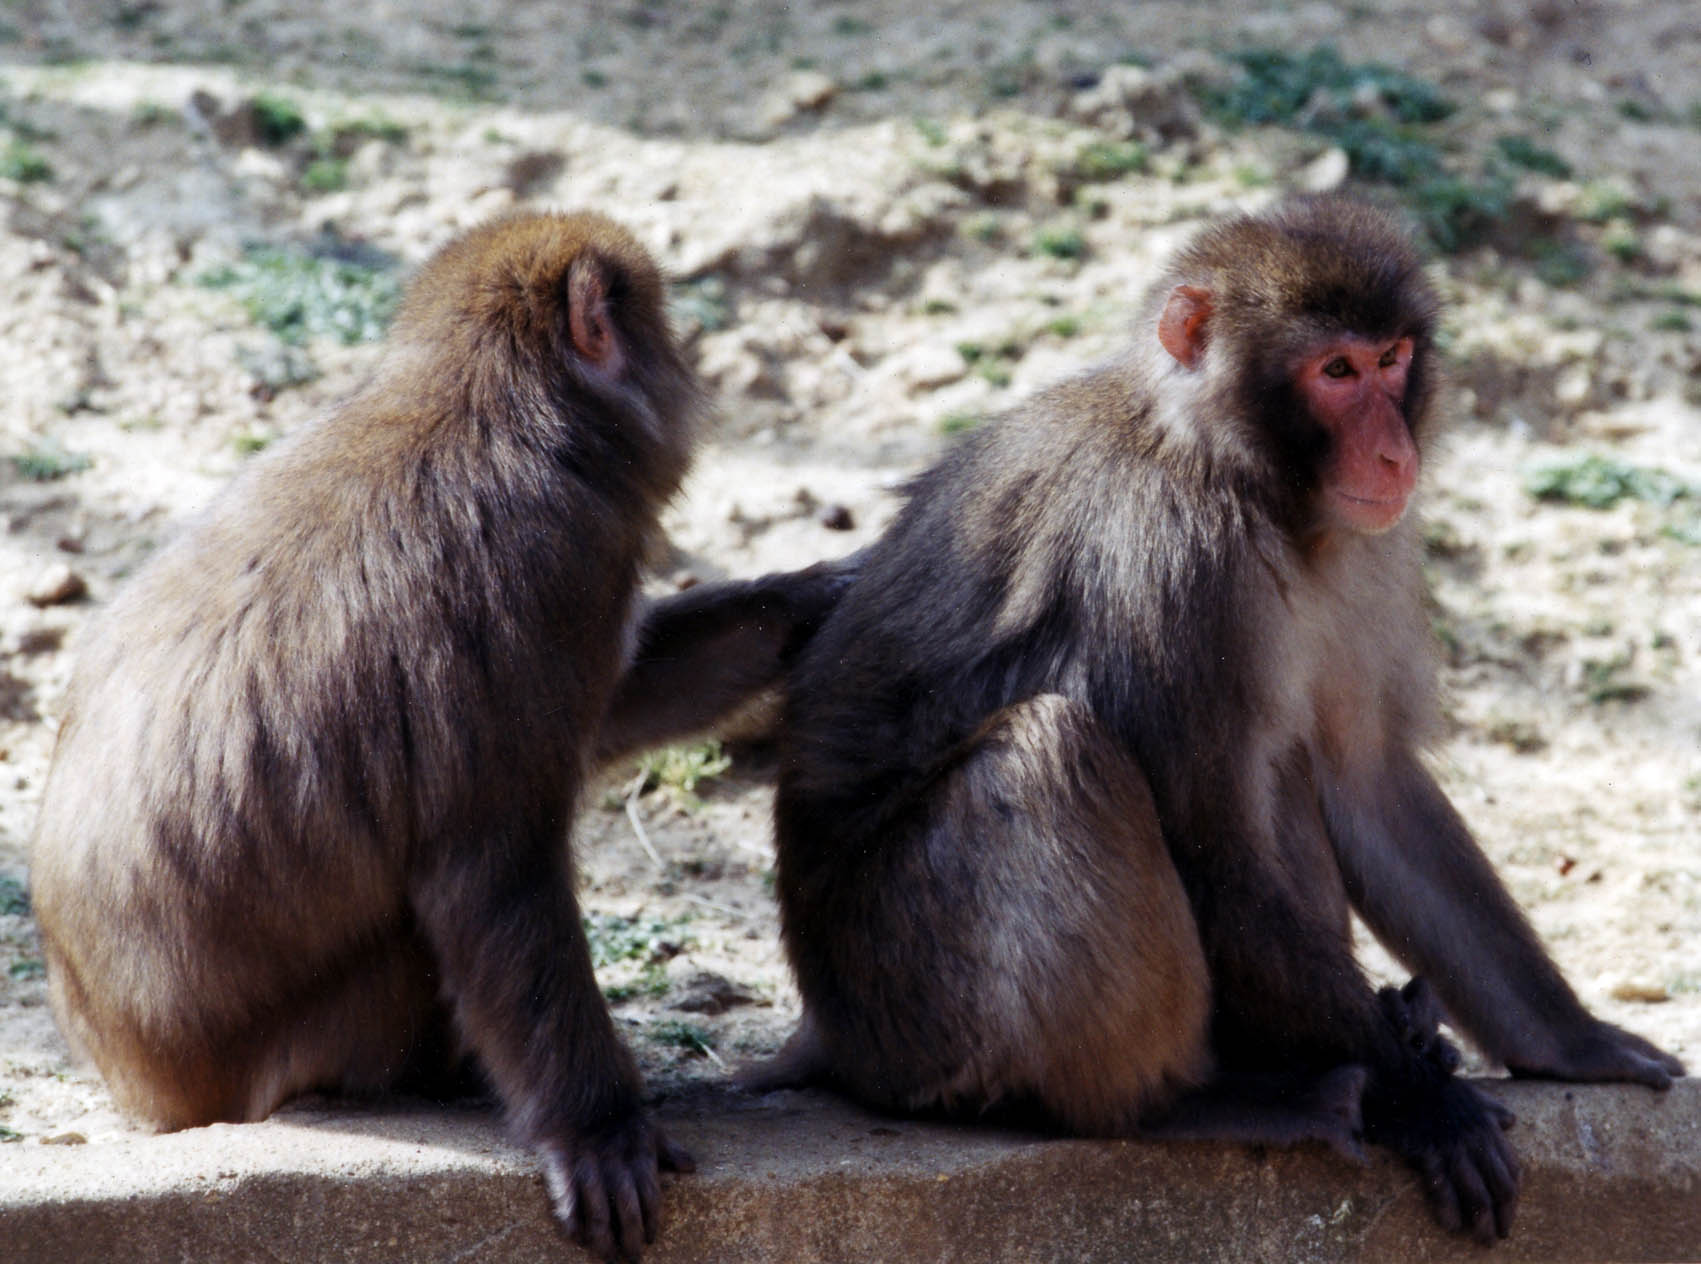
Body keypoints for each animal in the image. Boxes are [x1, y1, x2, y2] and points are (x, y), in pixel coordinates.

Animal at [30, 210, 764, 1262]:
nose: (689, 367)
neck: (488, 404)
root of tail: (144, 1085)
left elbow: (606, 715)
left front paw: (806, 612)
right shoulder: (548, 565)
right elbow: (488, 873)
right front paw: (596, 1130)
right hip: (309, 1042)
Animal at [761, 196, 1684, 1244]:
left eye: (1392, 358)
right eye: (1335, 373)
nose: (1394, 452)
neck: (1235, 474)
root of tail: (825, 1024)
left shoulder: (1366, 545)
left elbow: (1368, 786)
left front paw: (1570, 1042)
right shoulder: (1175, 564)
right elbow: (1210, 850)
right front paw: (1425, 1105)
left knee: (1279, 765)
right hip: (904, 1002)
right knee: (1055, 755)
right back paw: (1182, 1105)